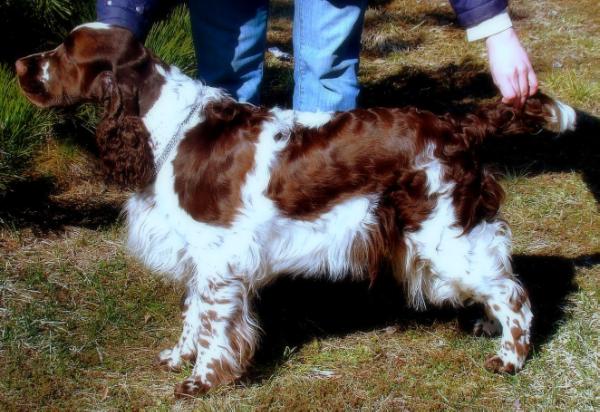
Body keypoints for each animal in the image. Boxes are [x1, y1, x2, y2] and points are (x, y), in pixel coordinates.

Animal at [14, 24, 576, 398]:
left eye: (63, 53)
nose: (18, 65)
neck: (167, 128)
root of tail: (458, 125)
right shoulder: (199, 253)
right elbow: (194, 314)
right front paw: (180, 357)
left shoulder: (219, 256)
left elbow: (213, 322)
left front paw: (202, 380)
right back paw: (486, 327)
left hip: (442, 234)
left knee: (513, 293)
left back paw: (509, 357)